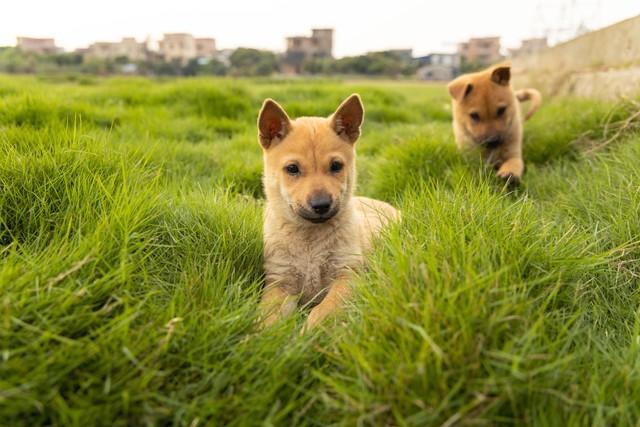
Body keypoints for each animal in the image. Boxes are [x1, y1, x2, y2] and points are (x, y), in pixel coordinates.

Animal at [256, 94, 398, 334]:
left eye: (336, 166)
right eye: (292, 169)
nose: (321, 205)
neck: (310, 242)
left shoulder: (347, 275)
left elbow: (324, 310)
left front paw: (308, 335)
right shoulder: (279, 282)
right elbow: (267, 317)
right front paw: (261, 338)